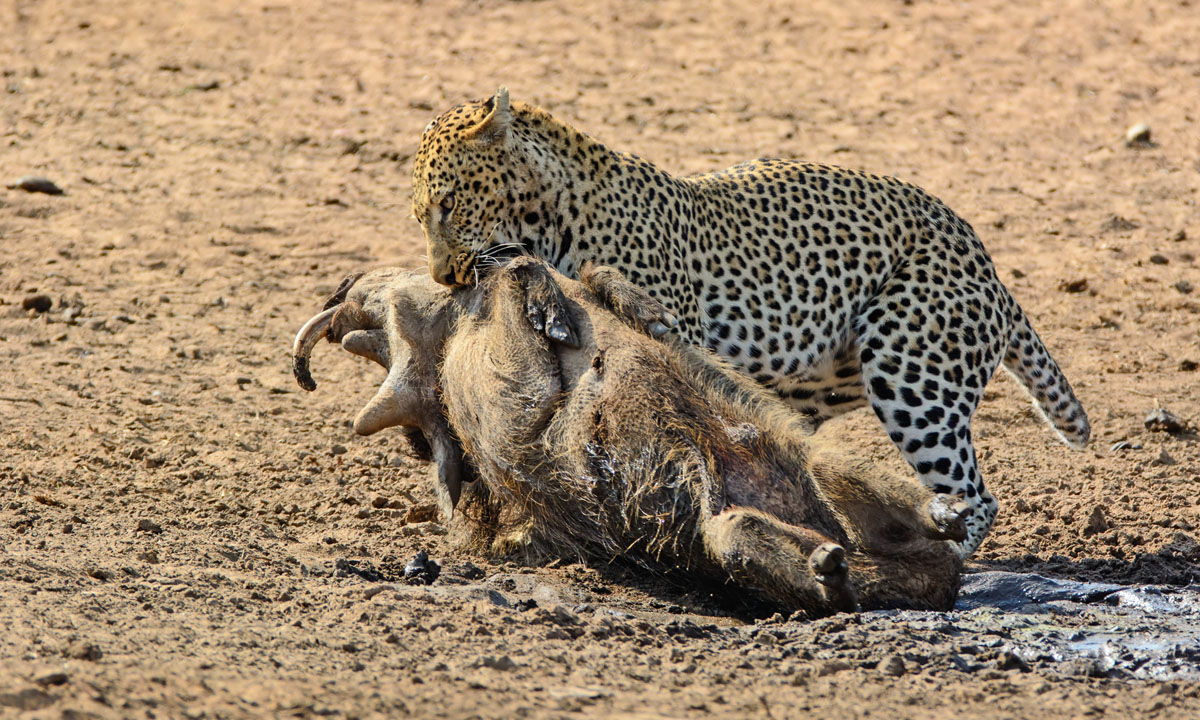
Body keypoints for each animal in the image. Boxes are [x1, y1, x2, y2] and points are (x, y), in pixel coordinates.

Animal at [408, 87, 1090, 558]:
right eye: (420, 215)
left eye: (450, 204)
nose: (444, 277)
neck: (544, 220)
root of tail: (985, 258)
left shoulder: (669, 337)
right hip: (821, 382)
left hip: (911, 371)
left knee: (976, 497)